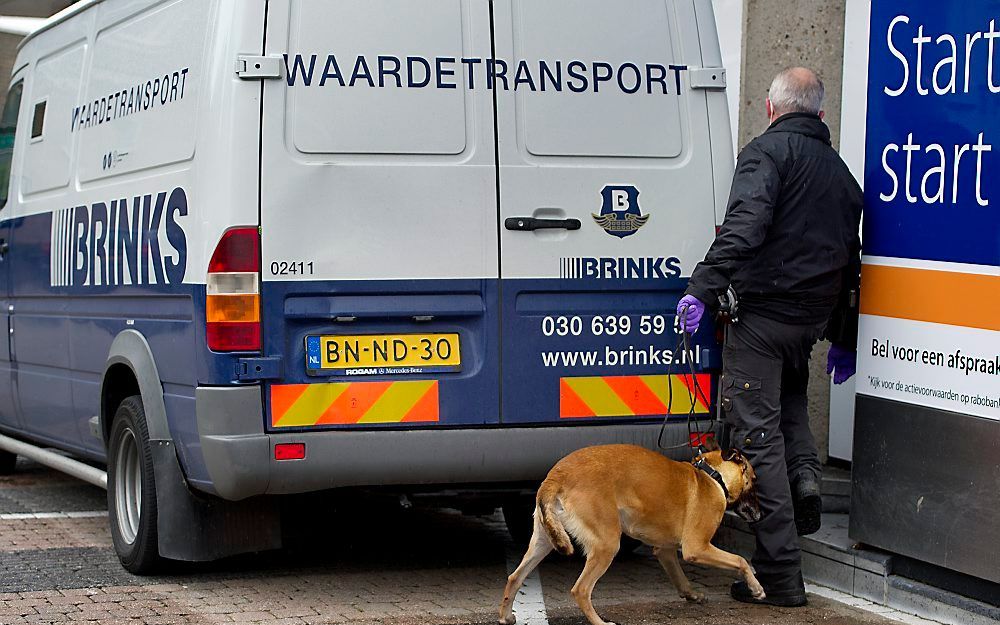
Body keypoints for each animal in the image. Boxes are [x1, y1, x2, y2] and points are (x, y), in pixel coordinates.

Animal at [500, 444, 764, 624]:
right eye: (754, 480)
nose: (760, 516)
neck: (711, 475)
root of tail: (556, 476)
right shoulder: (697, 548)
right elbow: (741, 560)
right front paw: (756, 587)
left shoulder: (665, 551)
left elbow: (680, 577)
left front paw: (692, 595)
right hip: (607, 545)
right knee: (581, 590)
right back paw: (600, 622)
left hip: (543, 542)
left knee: (514, 577)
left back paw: (506, 616)